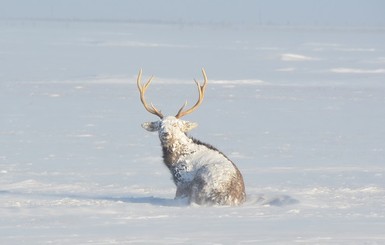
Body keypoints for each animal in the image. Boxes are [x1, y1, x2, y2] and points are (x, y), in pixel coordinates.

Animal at [137, 69, 246, 207]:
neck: (174, 160)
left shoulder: (183, 179)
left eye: (176, 125)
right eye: (160, 125)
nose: (165, 134)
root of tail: (230, 198)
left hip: (202, 179)